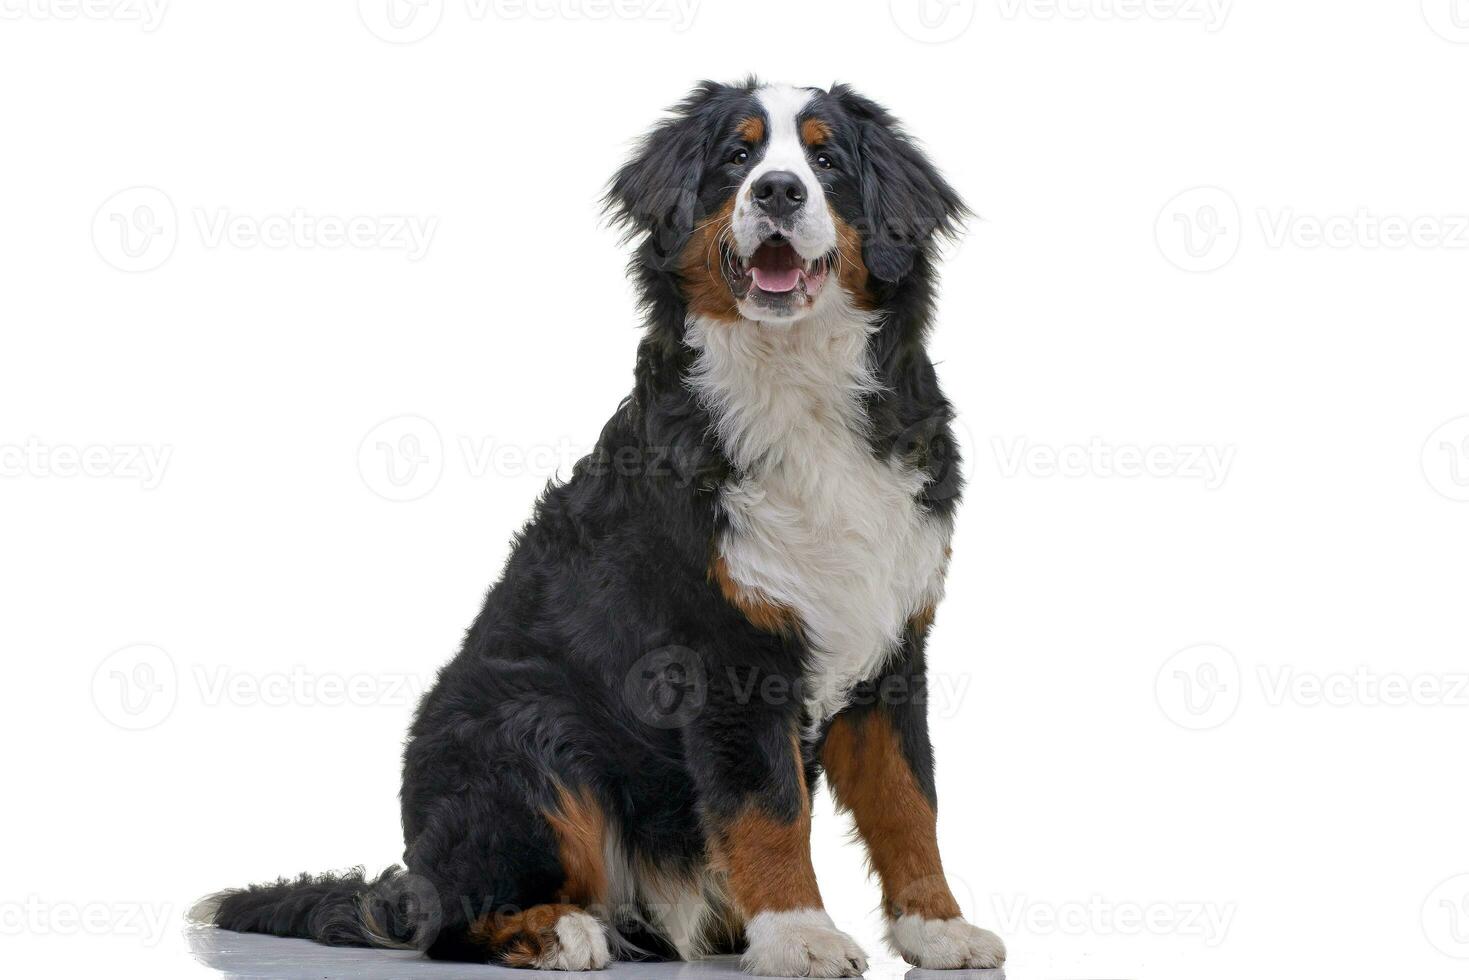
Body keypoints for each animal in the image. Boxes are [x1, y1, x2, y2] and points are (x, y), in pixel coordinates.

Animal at [189, 80, 1004, 975]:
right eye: (738, 155)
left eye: (825, 160)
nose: (778, 192)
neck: (801, 387)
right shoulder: (725, 652)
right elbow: (769, 810)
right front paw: (799, 934)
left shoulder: (891, 638)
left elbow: (907, 801)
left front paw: (937, 927)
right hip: (526, 730)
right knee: (453, 918)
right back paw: (560, 930)